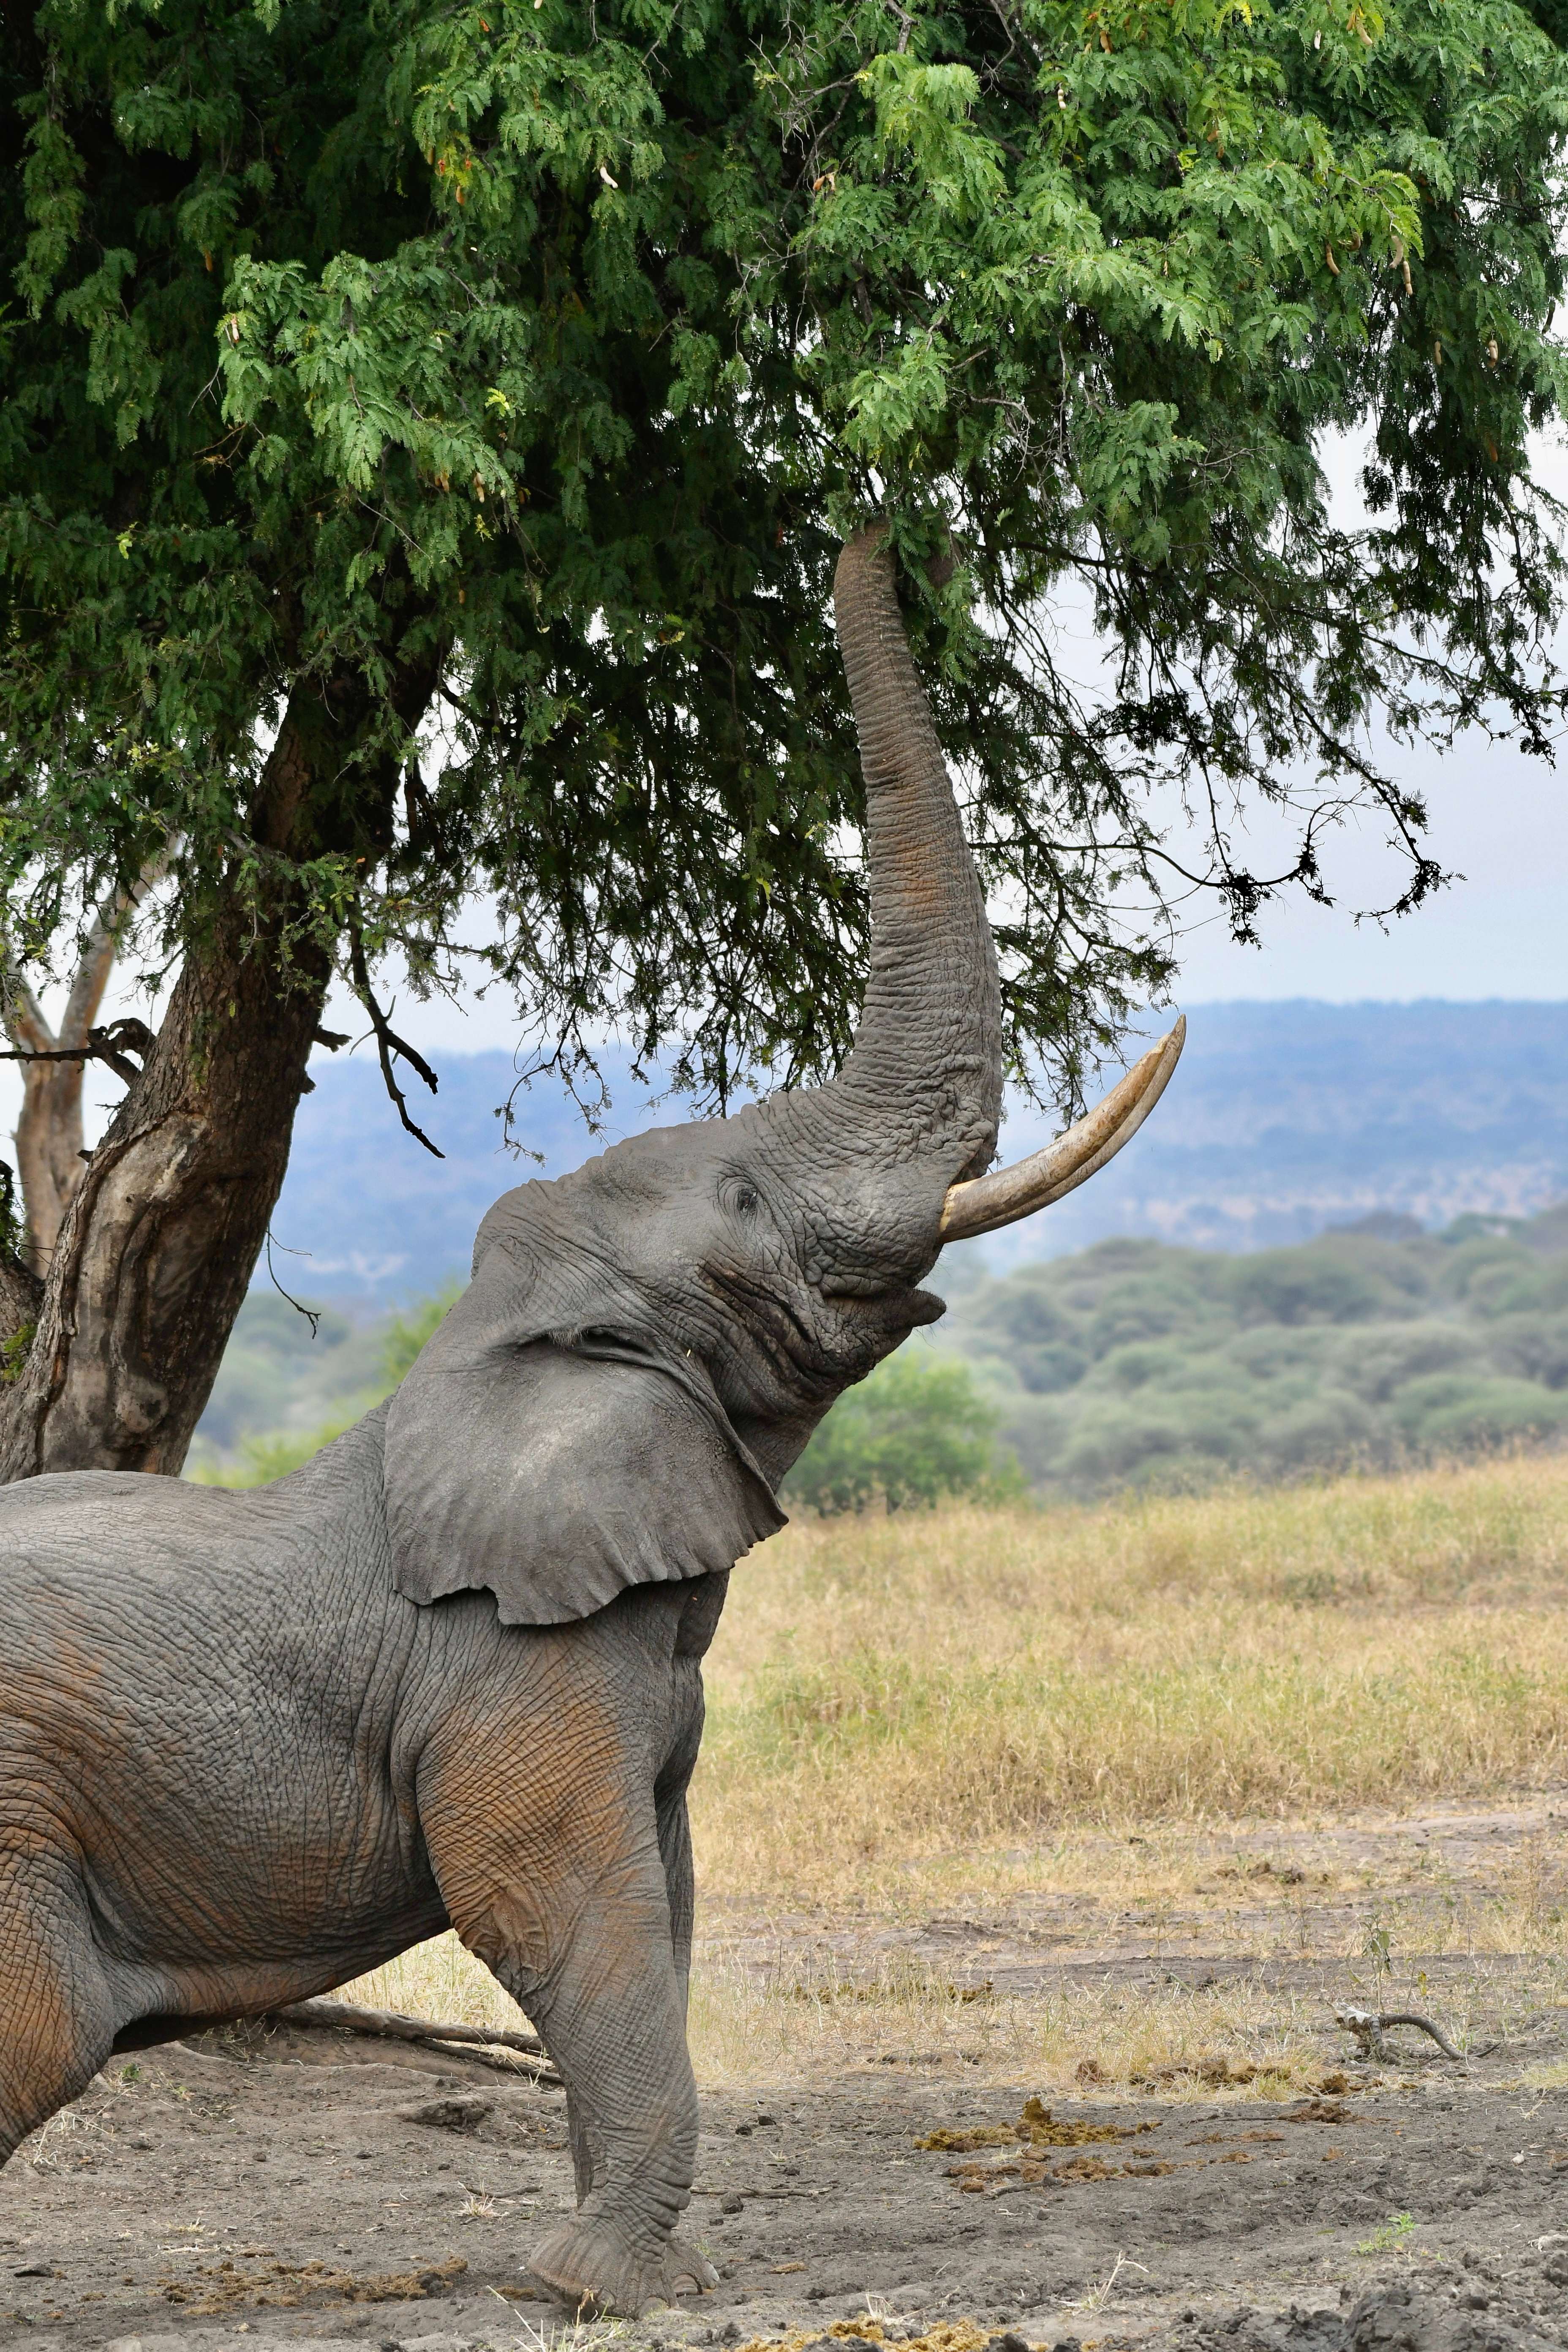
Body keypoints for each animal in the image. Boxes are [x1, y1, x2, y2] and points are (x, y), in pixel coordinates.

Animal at [0, 525, 1182, 2317]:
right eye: (748, 1201)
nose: (860, 515)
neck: (511, 1338)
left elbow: (663, 1906)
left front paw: (634, 2277)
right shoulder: (512, 1671)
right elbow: (557, 1904)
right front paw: (588, 2291)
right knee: (40, 2038)